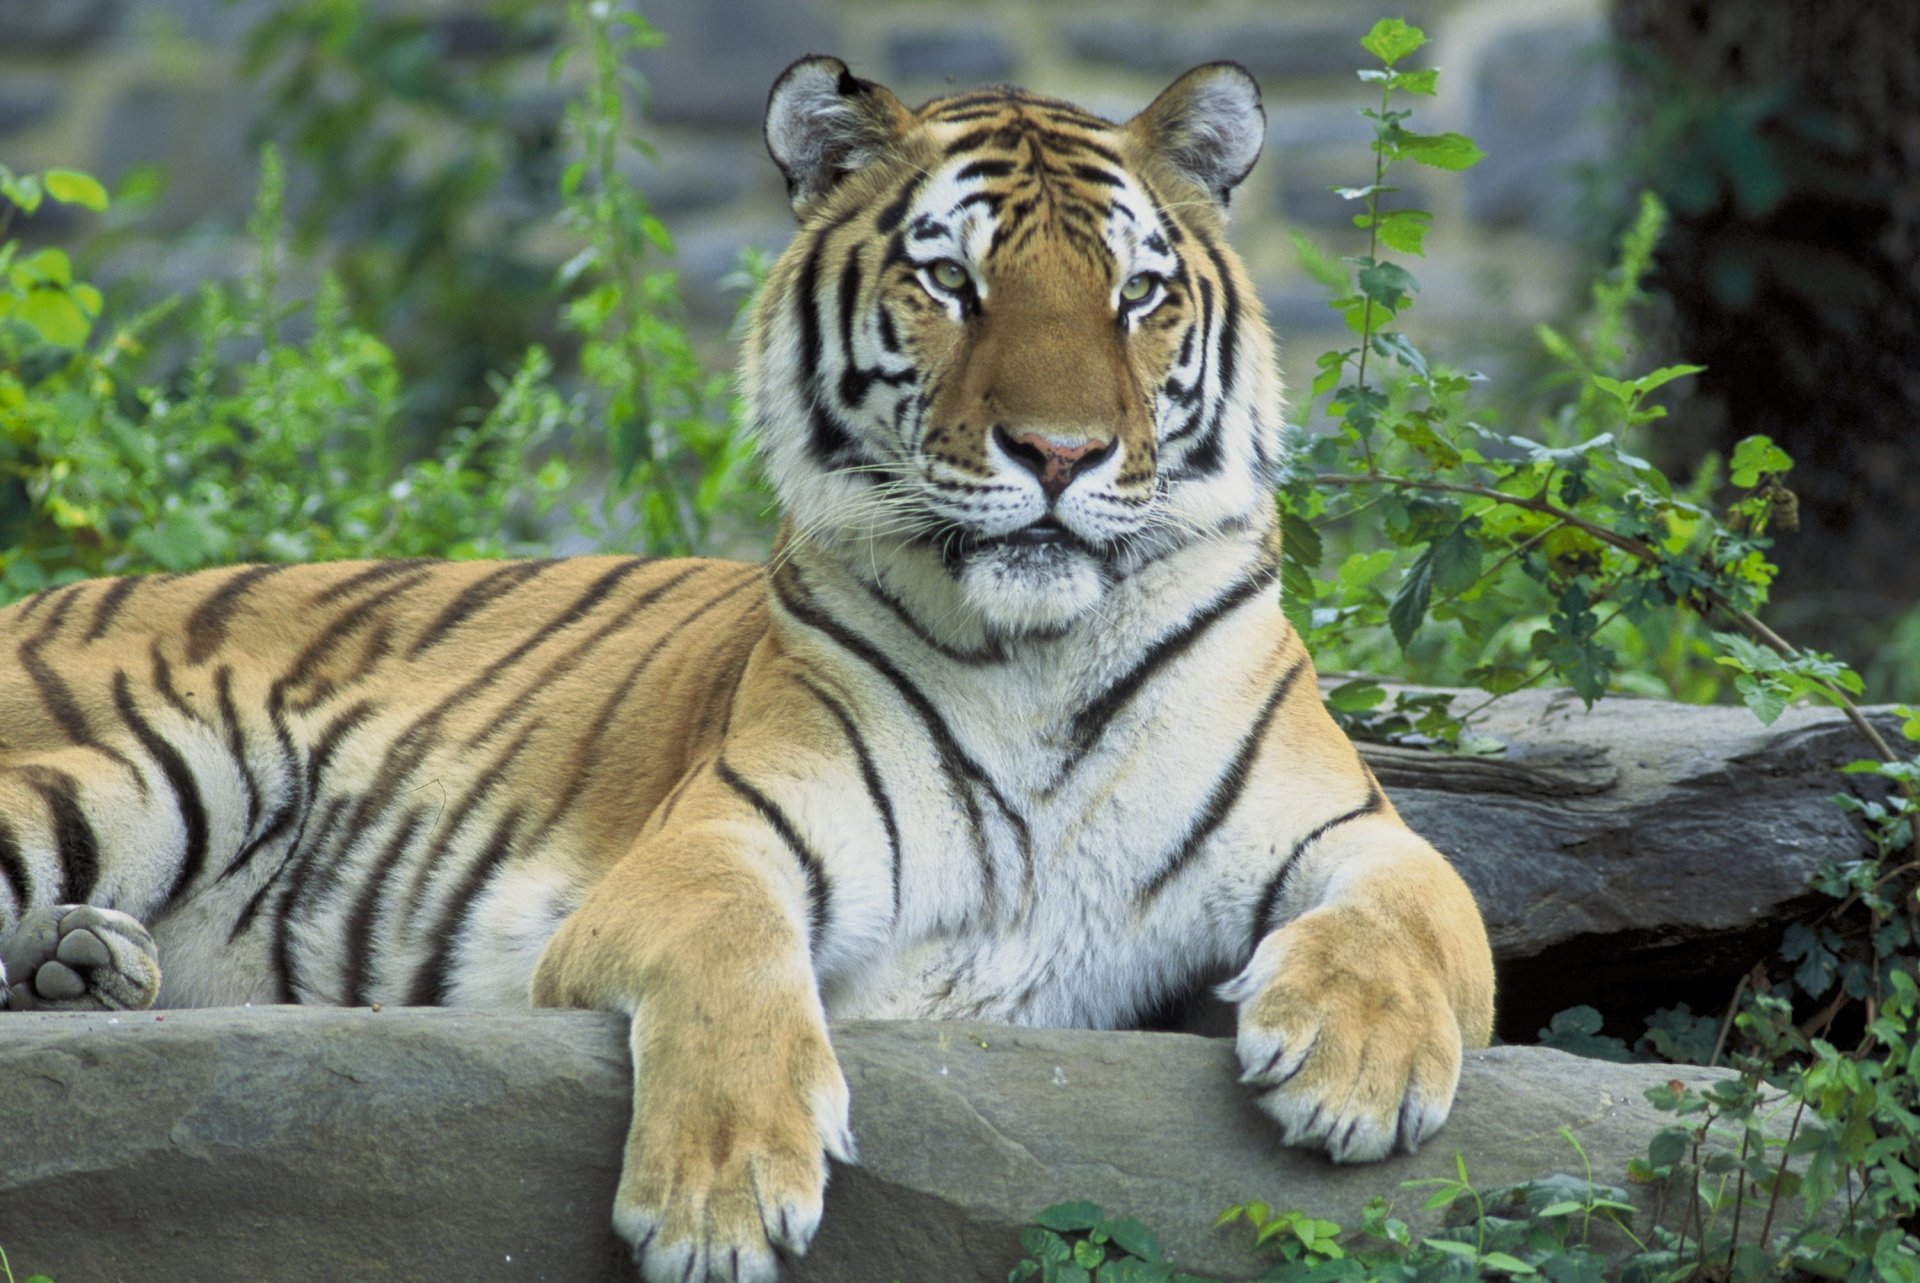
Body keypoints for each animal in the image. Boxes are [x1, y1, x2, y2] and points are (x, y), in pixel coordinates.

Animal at [0, 57, 1497, 1283]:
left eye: (1138, 294)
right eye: (952, 282)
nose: (1061, 453)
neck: (1037, 656)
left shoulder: (1349, 824)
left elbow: (1423, 908)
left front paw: (1355, 1070)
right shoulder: (717, 838)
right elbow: (735, 955)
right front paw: (718, 1199)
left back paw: (82, 964)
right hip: (172, 758)